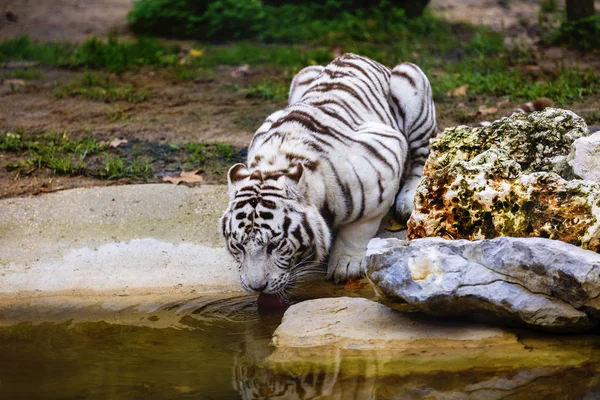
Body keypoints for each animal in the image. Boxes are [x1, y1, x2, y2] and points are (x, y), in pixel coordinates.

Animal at [220, 53, 436, 294]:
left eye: (274, 246)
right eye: (238, 246)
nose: (256, 287)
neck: (275, 164)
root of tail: (357, 56)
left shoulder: (386, 154)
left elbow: (360, 226)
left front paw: (346, 263)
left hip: (410, 80)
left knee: (422, 157)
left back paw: (407, 202)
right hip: (304, 75)